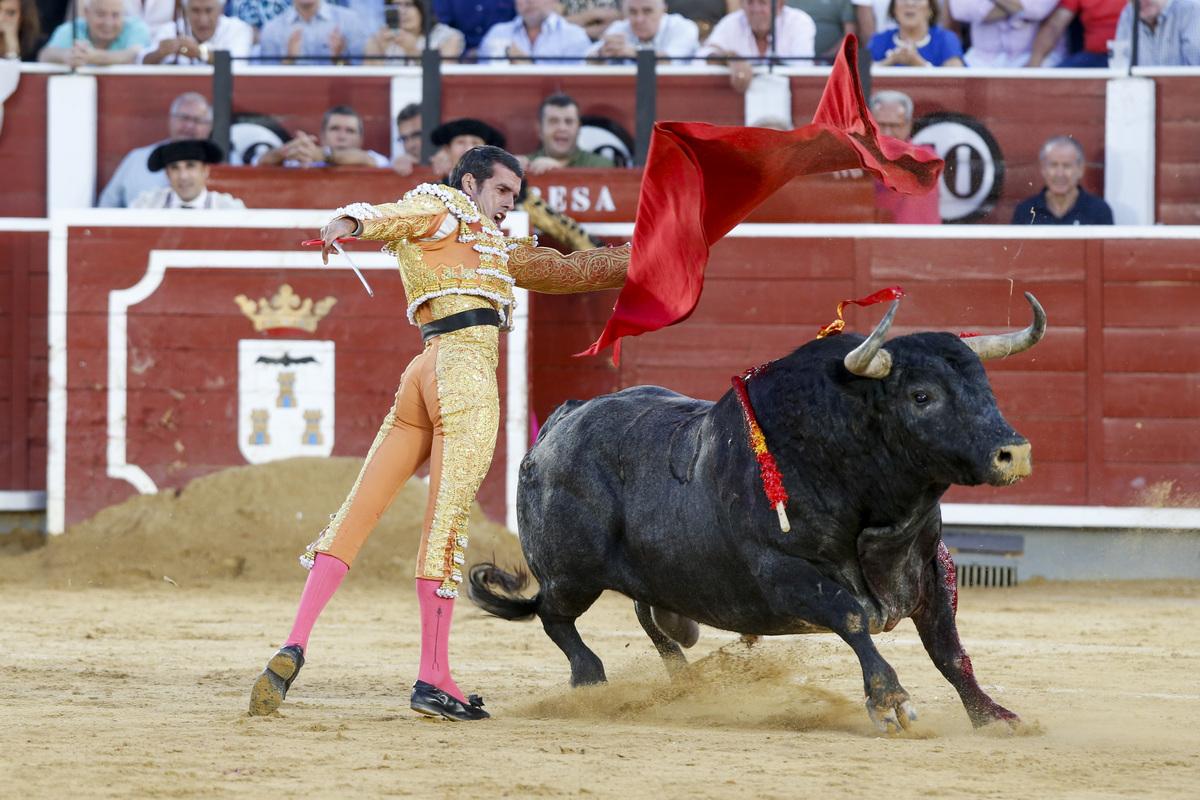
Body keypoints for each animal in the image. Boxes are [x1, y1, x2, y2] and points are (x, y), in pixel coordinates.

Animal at [472, 293, 1046, 734]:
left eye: (986, 387)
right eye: (921, 396)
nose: (1014, 453)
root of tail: (559, 422)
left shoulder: (927, 566)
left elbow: (948, 649)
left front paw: (993, 716)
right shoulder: (782, 572)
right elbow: (852, 615)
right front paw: (891, 701)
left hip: (649, 574)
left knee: (649, 618)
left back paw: (686, 681)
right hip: (572, 574)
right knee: (555, 616)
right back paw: (592, 682)